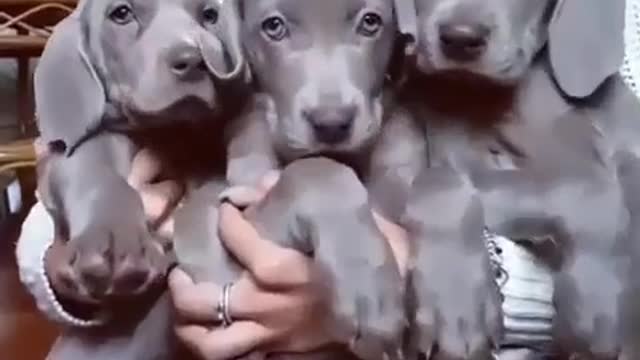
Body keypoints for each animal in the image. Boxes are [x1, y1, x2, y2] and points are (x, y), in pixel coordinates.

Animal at [370, 0, 636, 358]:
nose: (460, 38)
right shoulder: (389, 184)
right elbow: (438, 179)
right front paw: (453, 302)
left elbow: (590, 184)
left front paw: (599, 292)